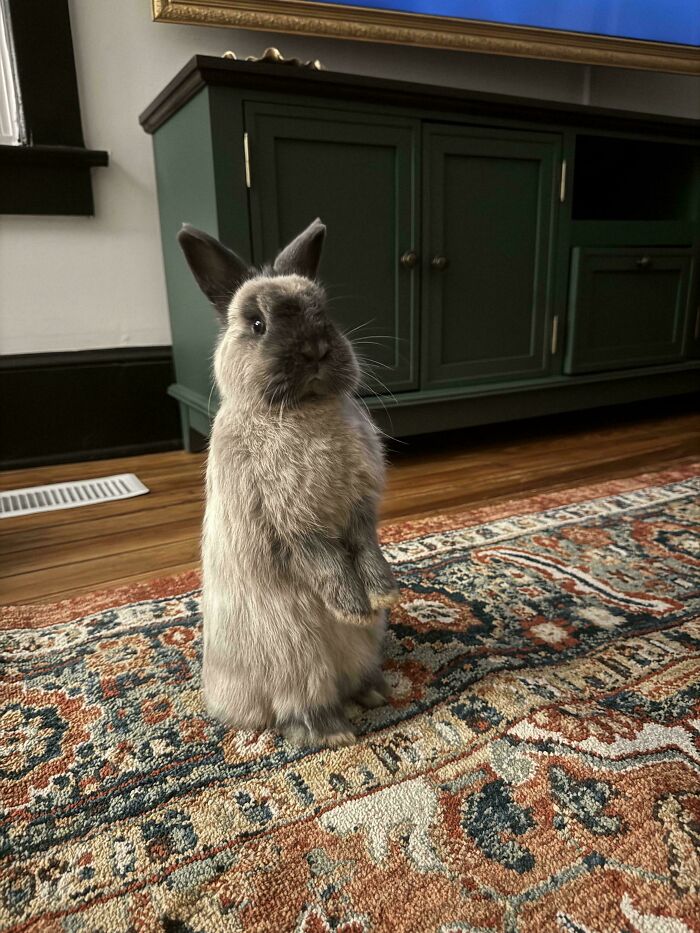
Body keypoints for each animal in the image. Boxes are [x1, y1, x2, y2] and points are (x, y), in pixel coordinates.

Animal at [177, 217, 399, 747]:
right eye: (257, 324)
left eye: (326, 313)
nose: (316, 349)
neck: (303, 411)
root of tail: (225, 701)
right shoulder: (290, 521)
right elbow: (324, 560)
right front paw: (352, 607)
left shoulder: (360, 508)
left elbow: (365, 545)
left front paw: (381, 595)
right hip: (297, 655)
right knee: (299, 706)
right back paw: (333, 734)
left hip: (358, 651)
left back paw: (375, 692)